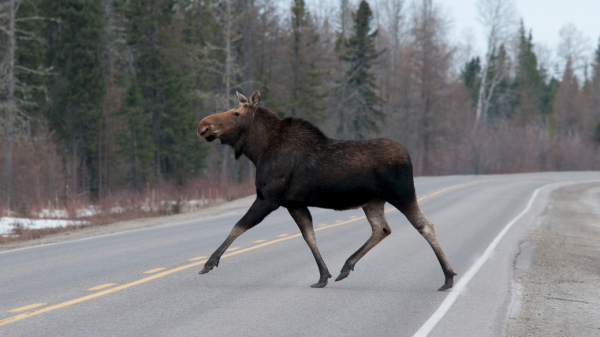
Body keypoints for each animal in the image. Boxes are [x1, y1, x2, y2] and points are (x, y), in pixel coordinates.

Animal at [197, 90, 454, 290]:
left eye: (236, 113)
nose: (203, 125)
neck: (258, 152)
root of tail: (408, 155)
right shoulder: (295, 203)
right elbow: (309, 236)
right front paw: (323, 276)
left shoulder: (269, 198)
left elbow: (238, 226)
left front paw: (209, 262)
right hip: (373, 201)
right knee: (381, 229)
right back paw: (346, 266)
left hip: (402, 194)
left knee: (425, 226)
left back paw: (448, 277)